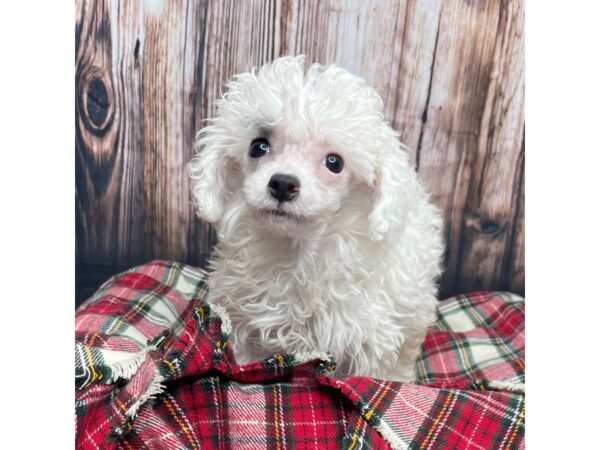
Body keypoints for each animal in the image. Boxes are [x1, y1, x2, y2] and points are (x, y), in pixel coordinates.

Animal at [190, 55, 442, 380]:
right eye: (258, 146)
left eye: (334, 163)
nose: (283, 183)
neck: (299, 250)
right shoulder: (244, 319)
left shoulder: (368, 335)